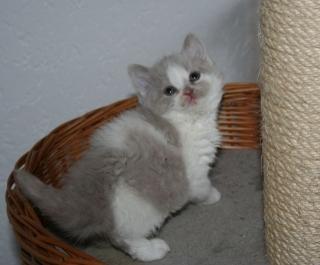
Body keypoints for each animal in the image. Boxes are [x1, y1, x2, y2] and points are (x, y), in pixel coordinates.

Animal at [15, 34, 224, 260]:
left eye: (194, 76)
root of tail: (85, 200)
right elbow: (202, 188)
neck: (190, 120)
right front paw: (213, 196)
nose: (188, 91)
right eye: (169, 91)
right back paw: (152, 250)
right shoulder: (194, 172)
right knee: (123, 239)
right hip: (140, 210)